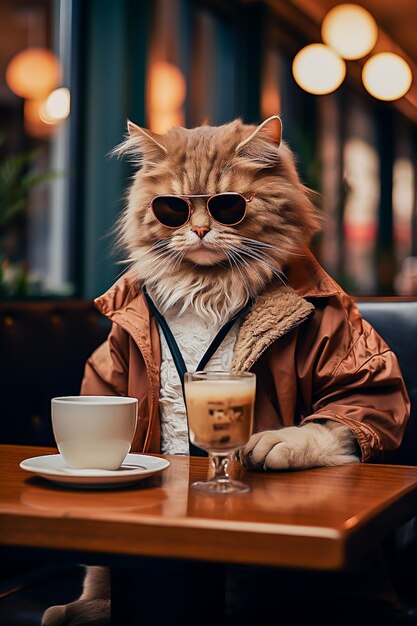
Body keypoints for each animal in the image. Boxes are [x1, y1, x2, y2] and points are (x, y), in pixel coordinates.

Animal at [42, 114, 406, 620]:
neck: (207, 287)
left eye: (226, 205)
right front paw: (86, 603)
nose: (198, 230)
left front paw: (272, 444)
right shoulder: (110, 373)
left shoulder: (360, 387)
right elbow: (98, 572)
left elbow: (325, 426)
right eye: (172, 209)